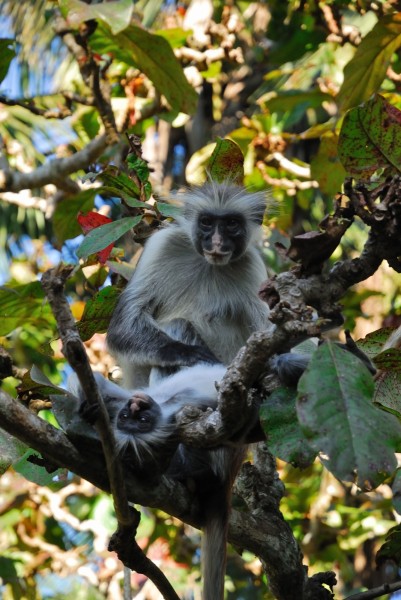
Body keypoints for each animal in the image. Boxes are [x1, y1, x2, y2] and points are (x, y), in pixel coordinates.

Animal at [105, 182, 272, 390]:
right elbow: (123, 325)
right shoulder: (163, 244)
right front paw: (185, 352)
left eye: (232, 223)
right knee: (178, 324)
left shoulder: (251, 266)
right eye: (206, 222)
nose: (217, 242)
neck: (209, 264)